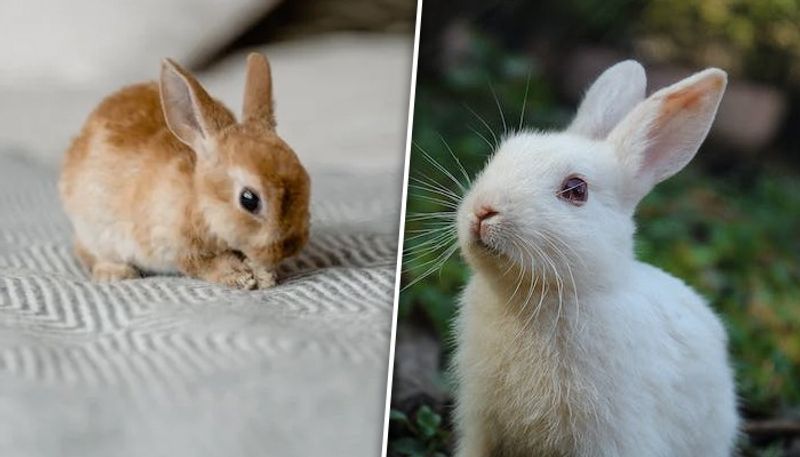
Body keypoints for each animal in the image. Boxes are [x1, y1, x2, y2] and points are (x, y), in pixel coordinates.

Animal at [59, 53, 310, 289]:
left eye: (306, 180)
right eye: (249, 199)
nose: (288, 248)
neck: (198, 200)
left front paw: (264, 275)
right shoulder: (179, 248)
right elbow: (208, 264)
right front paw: (242, 278)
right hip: (94, 231)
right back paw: (116, 274)